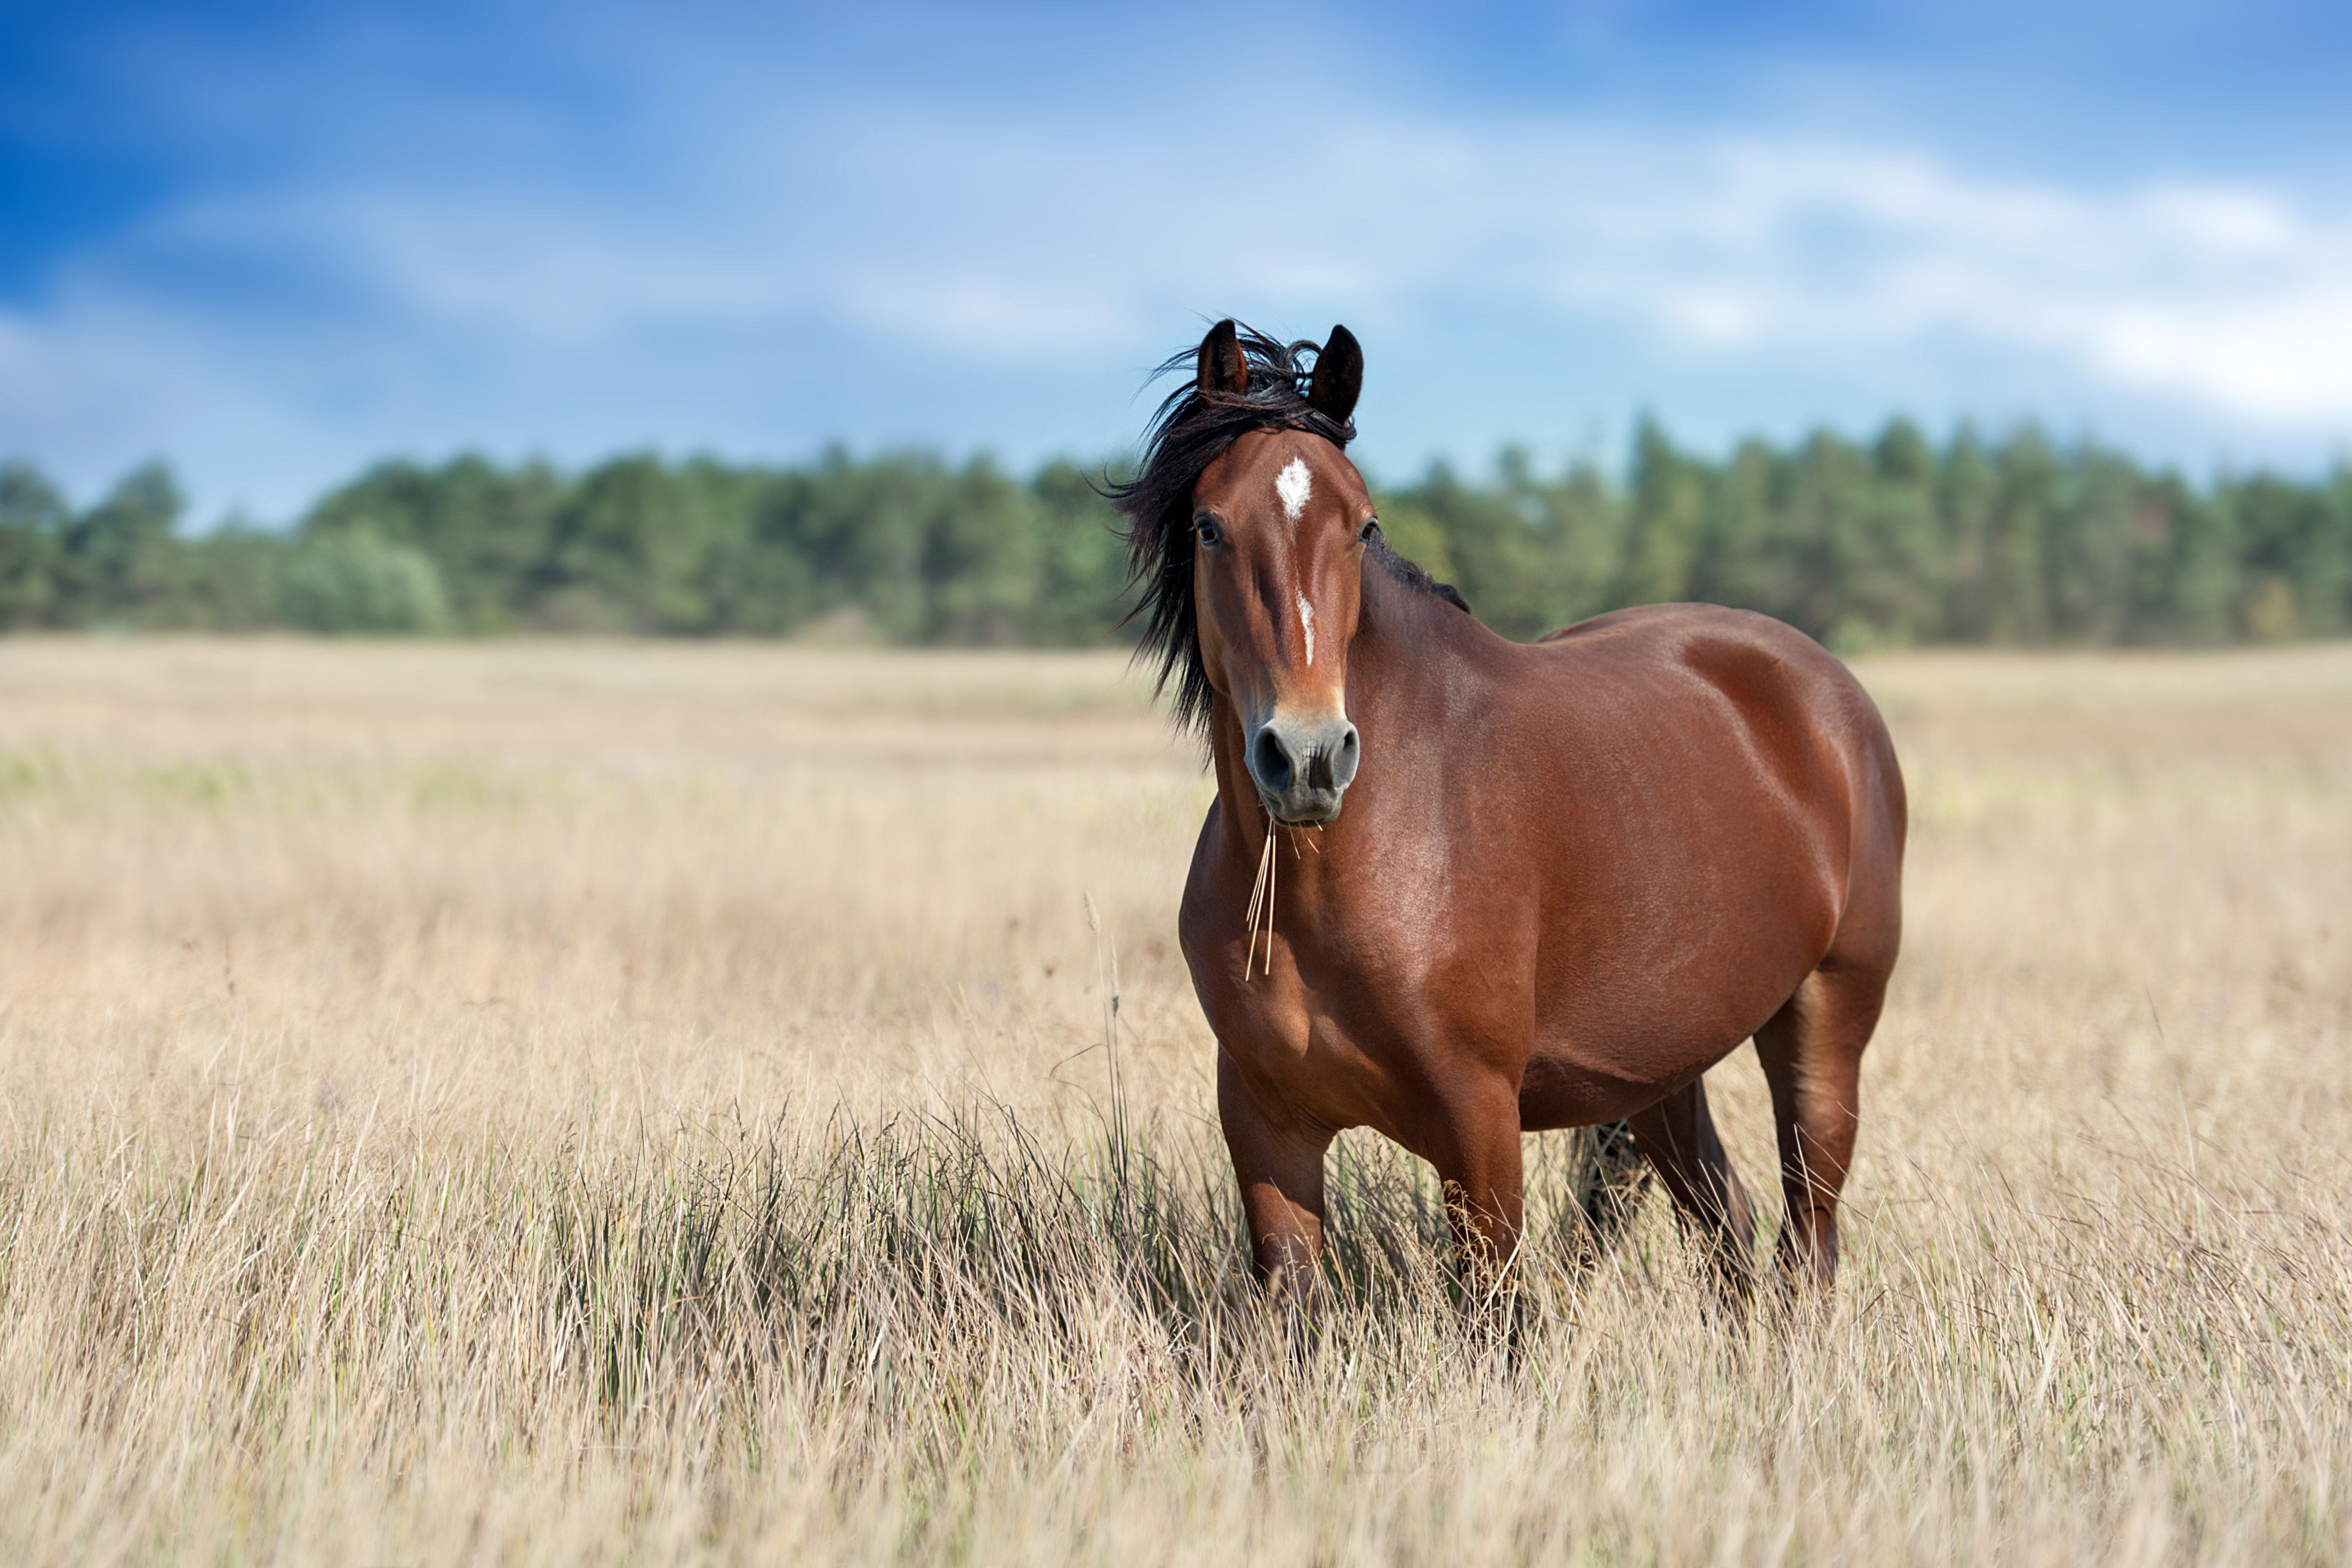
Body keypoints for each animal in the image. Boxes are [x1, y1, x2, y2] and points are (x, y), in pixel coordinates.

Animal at [1112, 321, 1907, 1310]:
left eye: (1362, 526)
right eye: (1210, 526)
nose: (1307, 758)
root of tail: (1828, 694)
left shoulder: (1478, 1123)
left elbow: (1492, 1318)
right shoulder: (1267, 1126)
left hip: (1827, 1022)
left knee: (1807, 1237)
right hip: (1662, 1073)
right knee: (1727, 1226)